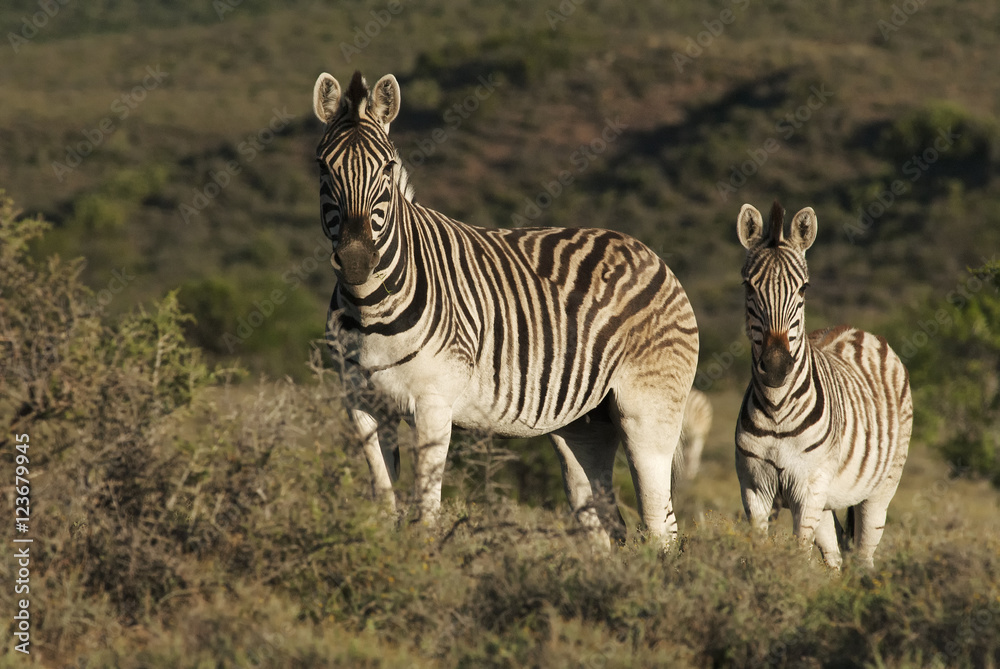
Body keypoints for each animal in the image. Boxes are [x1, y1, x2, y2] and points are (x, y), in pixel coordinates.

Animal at [312, 70, 699, 548]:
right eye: (322, 166)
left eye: (386, 167)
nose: (355, 261)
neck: (370, 309)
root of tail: (651, 254)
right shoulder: (361, 407)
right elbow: (383, 508)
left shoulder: (433, 404)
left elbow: (425, 513)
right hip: (585, 425)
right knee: (603, 523)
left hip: (648, 412)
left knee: (660, 528)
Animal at [734, 201, 912, 568]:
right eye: (748, 286)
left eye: (803, 288)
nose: (776, 367)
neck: (776, 408)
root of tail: (858, 330)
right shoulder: (753, 488)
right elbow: (759, 549)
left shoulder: (807, 487)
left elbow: (799, 554)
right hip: (828, 497)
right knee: (835, 556)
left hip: (880, 488)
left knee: (864, 555)